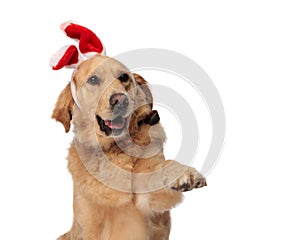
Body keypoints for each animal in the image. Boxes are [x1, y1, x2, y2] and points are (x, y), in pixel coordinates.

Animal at [52, 54, 206, 240]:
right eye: (93, 79)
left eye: (124, 77)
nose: (120, 100)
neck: (114, 149)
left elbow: (162, 170)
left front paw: (185, 173)